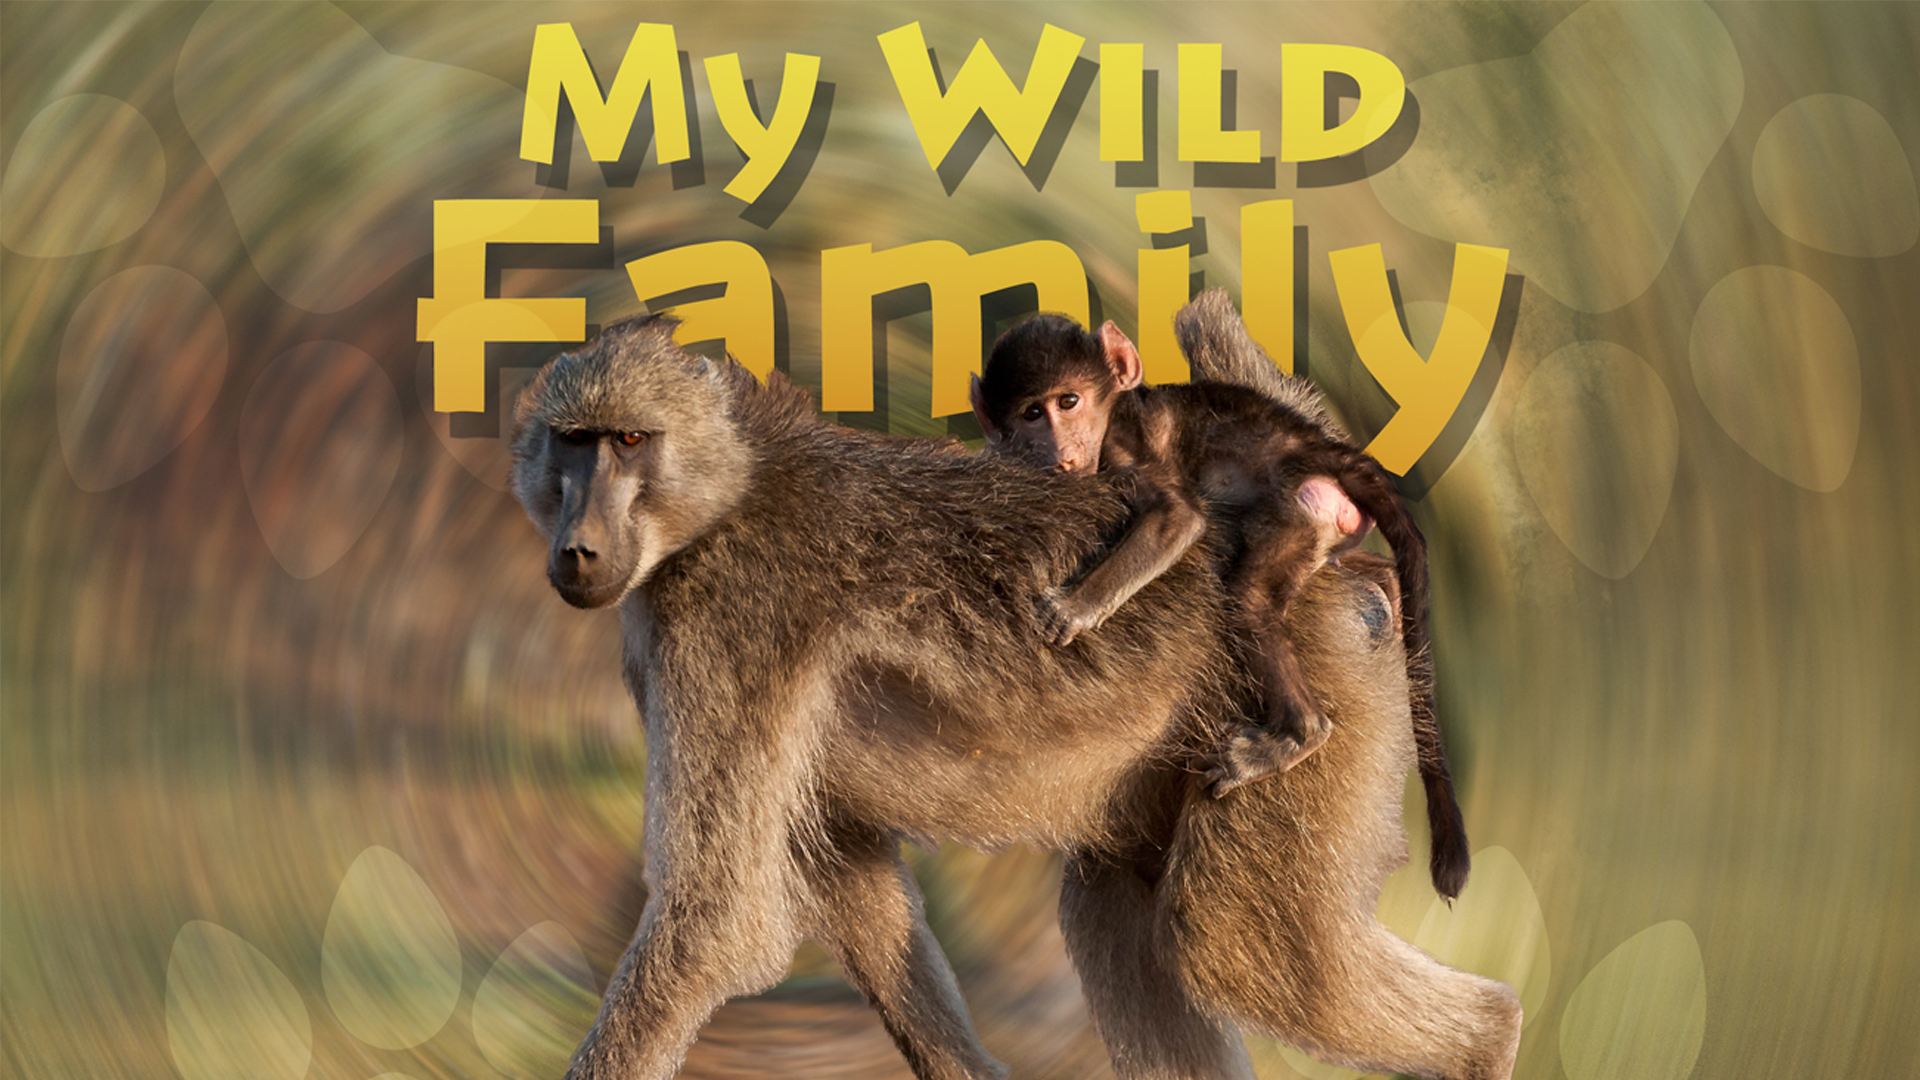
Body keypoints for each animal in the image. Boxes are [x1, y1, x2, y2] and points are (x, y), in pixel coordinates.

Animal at [968, 306, 1469, 902]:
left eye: (1068, 402)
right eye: (1030, 414)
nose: (1061, 452)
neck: (1112, 412)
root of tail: (1323, 449)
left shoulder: (1122, 449)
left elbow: (1179, 519)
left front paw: (1075, 607)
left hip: (1305, 504)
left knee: (1249, 596)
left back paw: (1298, 733)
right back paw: (1384, 589)